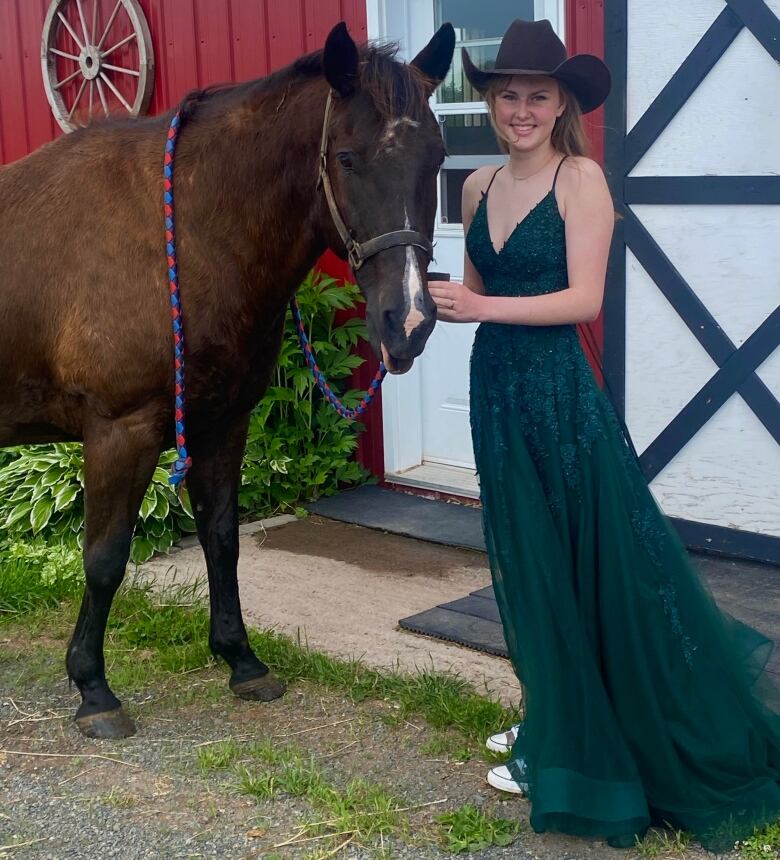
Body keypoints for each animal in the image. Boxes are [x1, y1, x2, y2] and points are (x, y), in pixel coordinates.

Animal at [0, 25, 454, 740]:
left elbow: (222, 538)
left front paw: (241, 659)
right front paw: (94, 689)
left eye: (436, 158)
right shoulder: (119, 431)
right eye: (348, 158)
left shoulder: (223, 420)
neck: (185, 233)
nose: (407, 320)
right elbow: (104, 558)